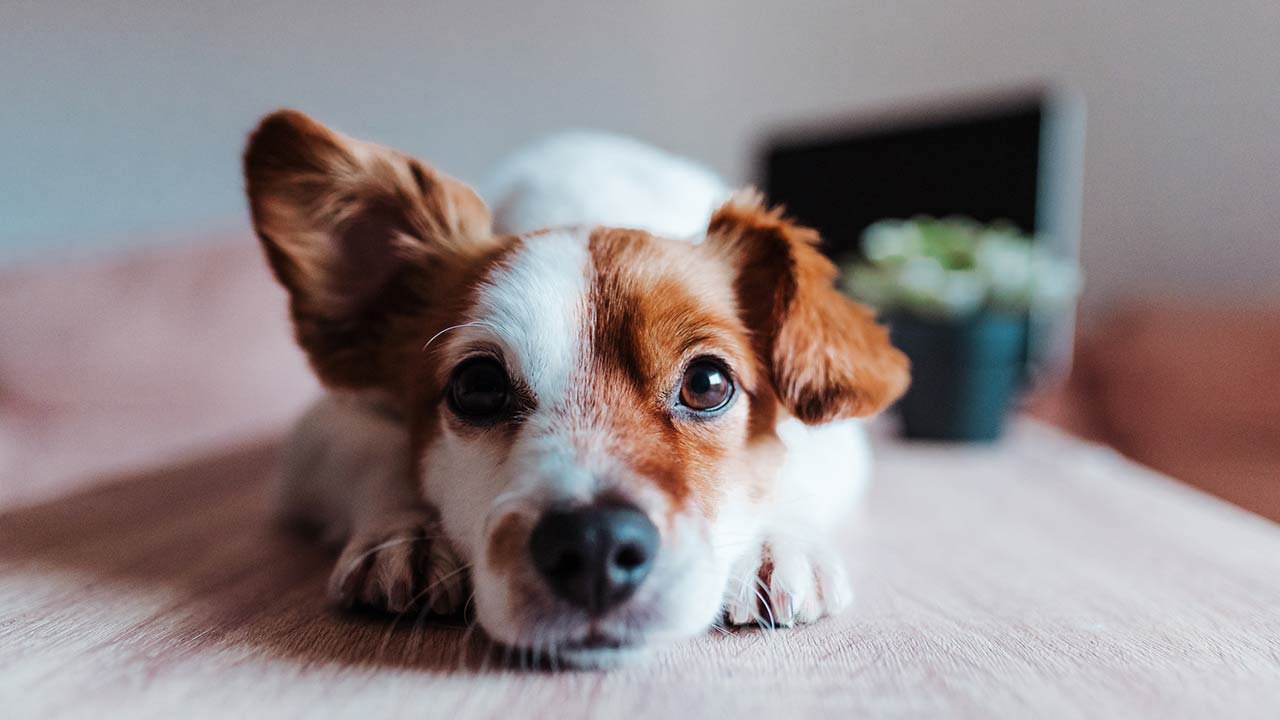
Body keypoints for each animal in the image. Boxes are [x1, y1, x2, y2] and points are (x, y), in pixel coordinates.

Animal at [241, 109, 911, 666]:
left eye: (707, 382)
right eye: (477, 386)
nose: (593, 546)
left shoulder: (837, 437)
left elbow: (792, 465)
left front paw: (776, 540)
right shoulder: (322, 428)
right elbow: (378, 453)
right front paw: (407, 531)